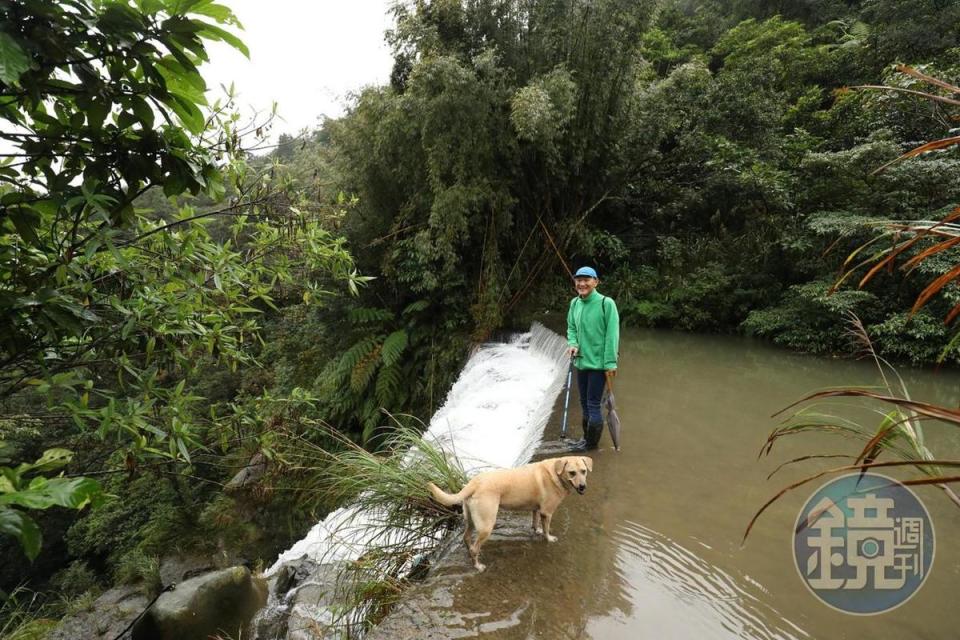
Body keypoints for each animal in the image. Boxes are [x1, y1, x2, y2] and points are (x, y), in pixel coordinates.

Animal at [430, 456, 592, 568]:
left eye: (583, 471)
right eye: (572, 473)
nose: (583, 486)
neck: (555, 473)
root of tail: (474, 483)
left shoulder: (536, 509)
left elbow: (535, 522)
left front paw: (536, 530)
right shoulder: (547, 512)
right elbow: (546, 529)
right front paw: (549, 538)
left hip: (470, 520)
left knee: (466, 538)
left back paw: (469, 552)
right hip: (486, 525)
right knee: (475, 547)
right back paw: (478, 566)